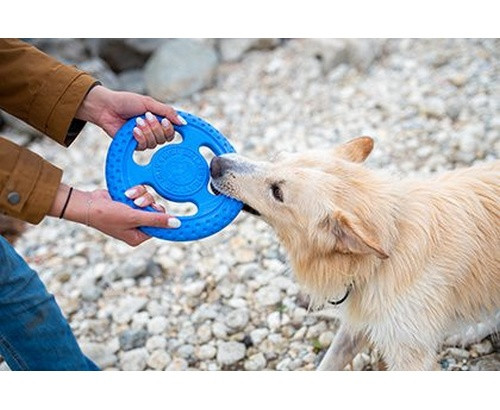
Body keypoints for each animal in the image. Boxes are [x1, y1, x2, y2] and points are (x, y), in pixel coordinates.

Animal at [211, 138, 500, 372]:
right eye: (275, 158)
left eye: (277, 192)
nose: (215, 163)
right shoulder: (358, 323)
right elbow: (328, 364)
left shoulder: (409, 354)